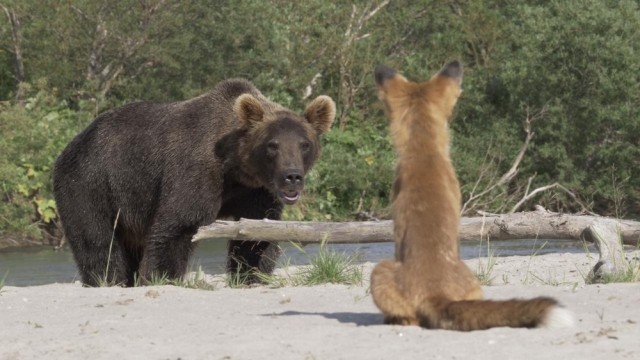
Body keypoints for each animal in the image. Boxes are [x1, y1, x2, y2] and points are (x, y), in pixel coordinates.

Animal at [51, 79, 336, 286]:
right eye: (272, 145)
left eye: (304, 144)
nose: (292, 176)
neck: (234, 169)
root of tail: (72, 144)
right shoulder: (195, 171)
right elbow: (178, 226)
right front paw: (162, 277)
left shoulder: (255, 192)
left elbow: (255, 235)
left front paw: (251, 275)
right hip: (91, 183)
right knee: (98, 241)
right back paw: (107, 280)